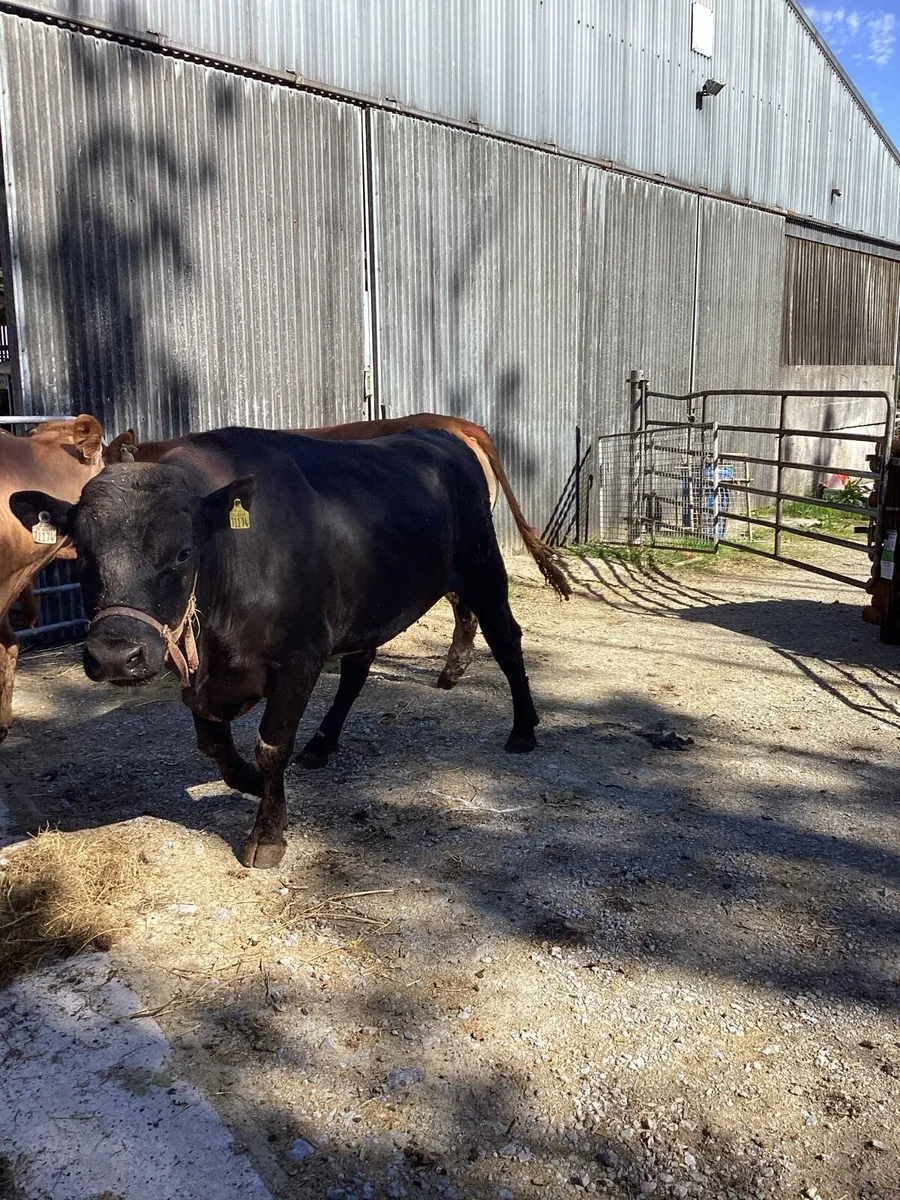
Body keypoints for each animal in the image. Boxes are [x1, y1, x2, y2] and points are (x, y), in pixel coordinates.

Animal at [11, 427, 539, 868]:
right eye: (82, 555)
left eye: (184, 553)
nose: (117, 656)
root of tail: (441, 436)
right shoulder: (201, 676)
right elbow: (213, 744)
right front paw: (246, 781)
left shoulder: (298, 657)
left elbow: (271, 746)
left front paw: (267, 834)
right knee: (359, 667)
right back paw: (326, 742)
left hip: (483, 567)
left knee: (506, 639)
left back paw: (523, 729)